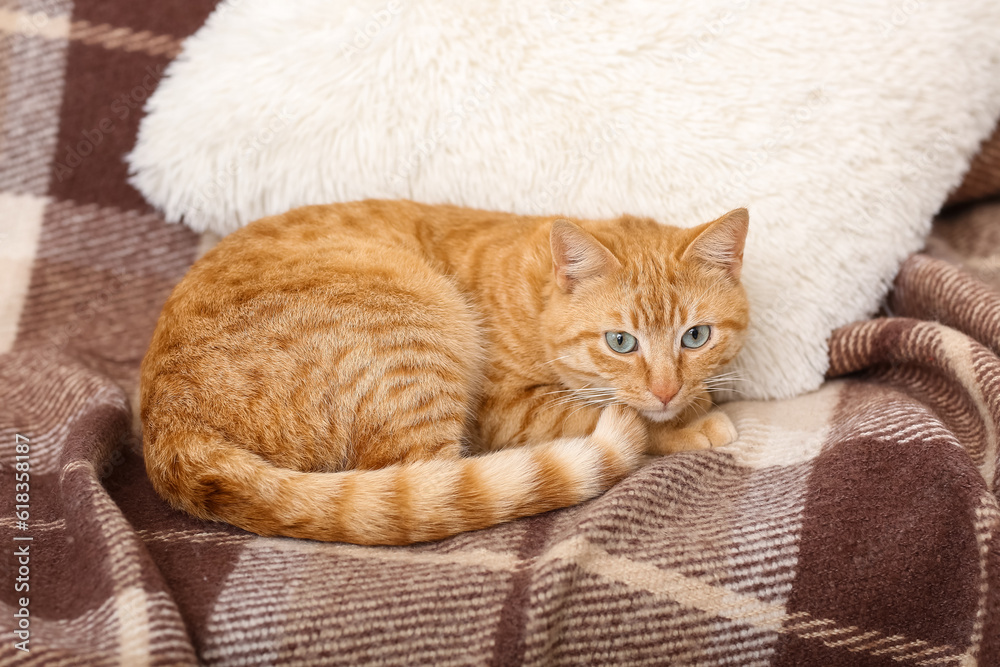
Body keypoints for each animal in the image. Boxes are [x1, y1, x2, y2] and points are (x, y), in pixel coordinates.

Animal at [143, 201, 752, 544]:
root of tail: (171, 427)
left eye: (695, 336)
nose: (667, 389)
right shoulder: (505, 411)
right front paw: (691, 421)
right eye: (621, 342)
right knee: (434, 487)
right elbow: (610, 414)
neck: (534, 296)